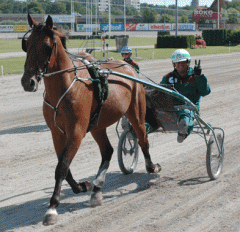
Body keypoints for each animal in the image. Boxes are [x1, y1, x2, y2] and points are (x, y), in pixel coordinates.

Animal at [21, 14, 161, 225]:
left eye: (46, 46)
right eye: (27, 43)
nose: (27, 82)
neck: (64, 88)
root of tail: (128, 66)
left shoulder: (76, 132)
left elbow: (62, 166)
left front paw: (52, 208)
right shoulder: (57, 133)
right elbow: (64, 166)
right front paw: (82, 186)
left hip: (136, 111)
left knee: (143, 138)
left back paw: (151, 166)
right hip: (97, 125)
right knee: (108, 151)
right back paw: (96, 189)